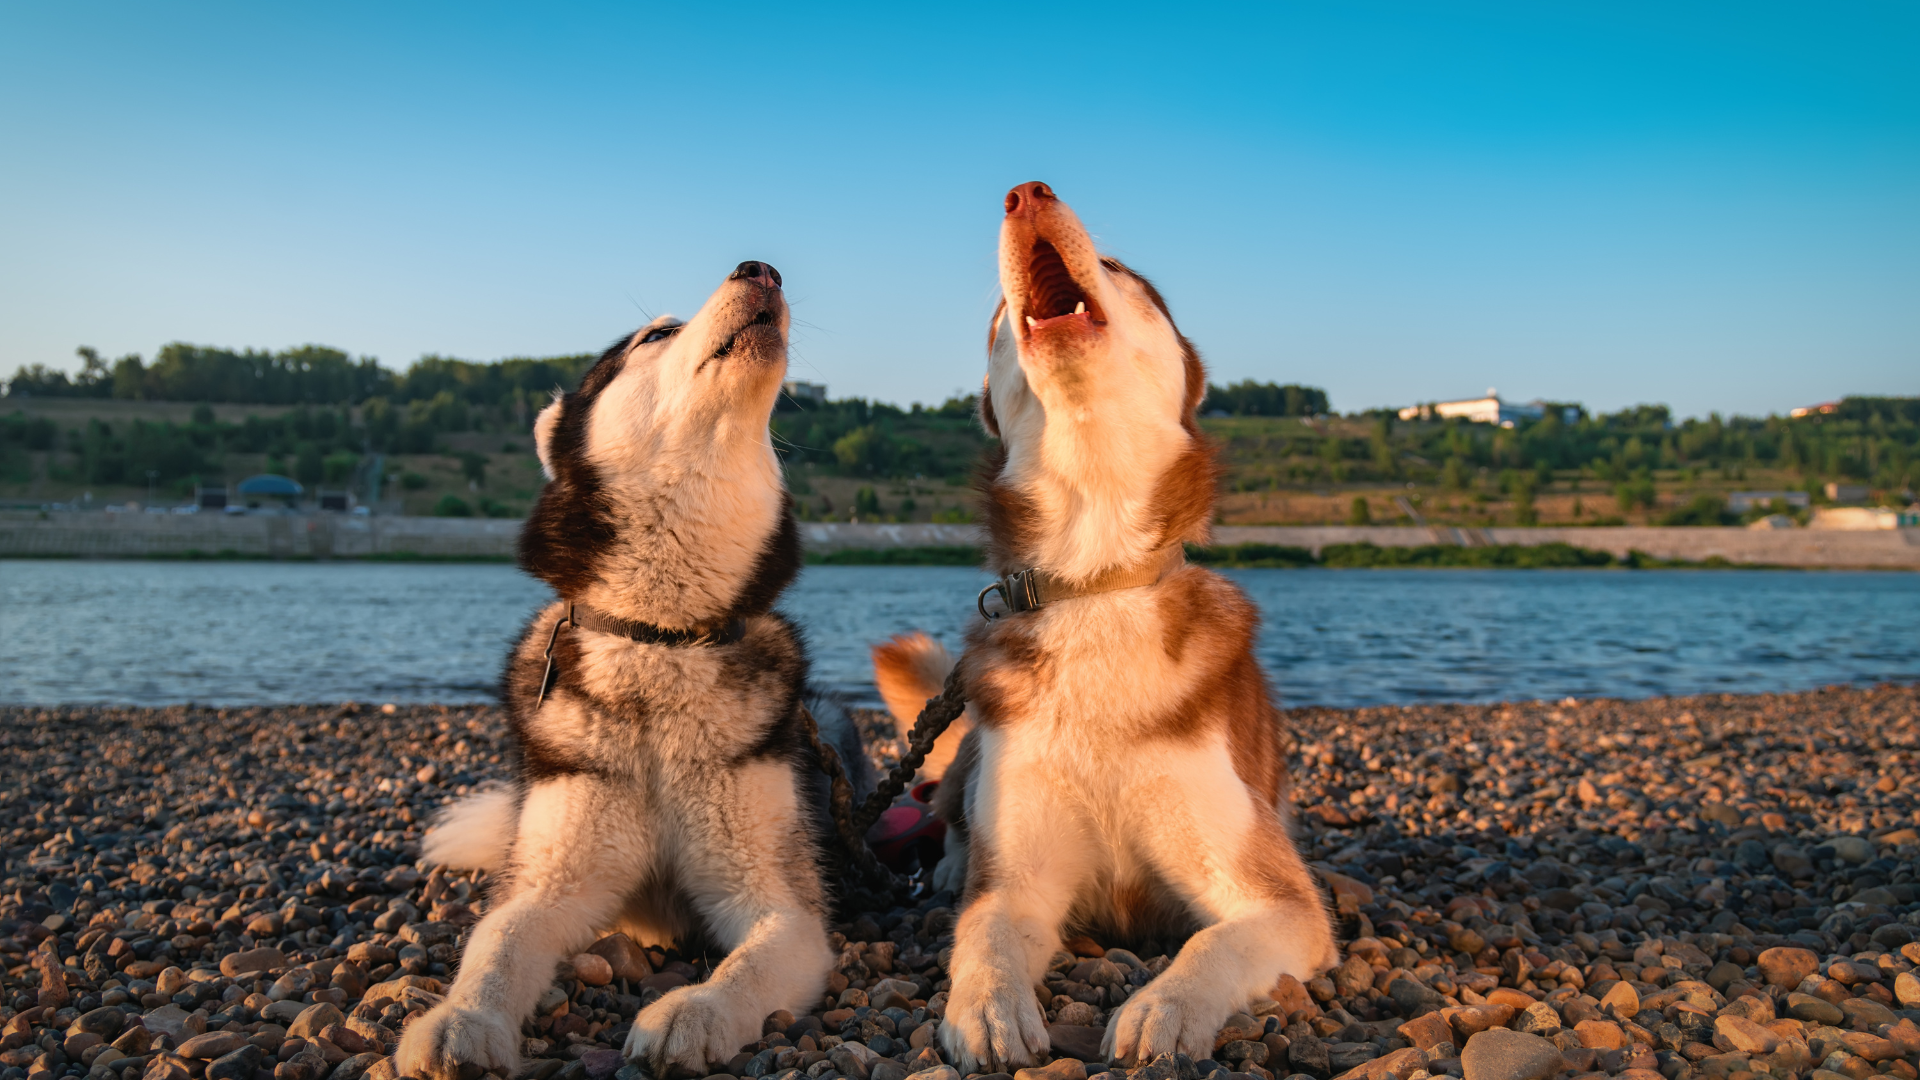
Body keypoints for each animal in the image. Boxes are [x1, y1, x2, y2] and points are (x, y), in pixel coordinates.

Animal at [401, 259, 875, 1076]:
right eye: (658, 334)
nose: (762, 269)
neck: (663, 639)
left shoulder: (783, 906)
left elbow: (750, 962)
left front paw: (694, 1010)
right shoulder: (552, 878)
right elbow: (498, 942)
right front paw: (461, 1018)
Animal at [875, 184, 1336, 1068]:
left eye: (1121, 269)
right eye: (996, 317)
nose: (1027, 194)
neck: (1094, 582)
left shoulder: (1280, 900)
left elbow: (1213, 941)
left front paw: (1166, 1006)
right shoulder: (1019, 878)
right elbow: (983, 935)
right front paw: (986, 1008)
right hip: (972, 747)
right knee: (948, 809)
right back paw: (946, 866)